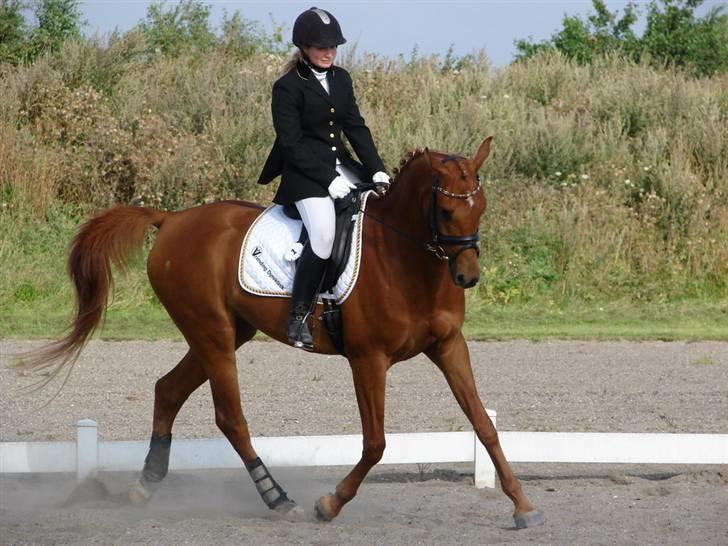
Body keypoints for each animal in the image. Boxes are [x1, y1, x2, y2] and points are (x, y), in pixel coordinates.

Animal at [22, 136, 544, 528]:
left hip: (227, 332)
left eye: (481, 207)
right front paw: (329, 504)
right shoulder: (368, 359)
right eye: (447, 212)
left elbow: (484, 425)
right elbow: (376, 443)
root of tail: (171, 220)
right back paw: (278, 498)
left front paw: (523, 506)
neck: (406, 260)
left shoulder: (449, 347)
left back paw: (144, 487)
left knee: (168, 390)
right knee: (230, 418)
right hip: (212, 334)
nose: (468, 277)